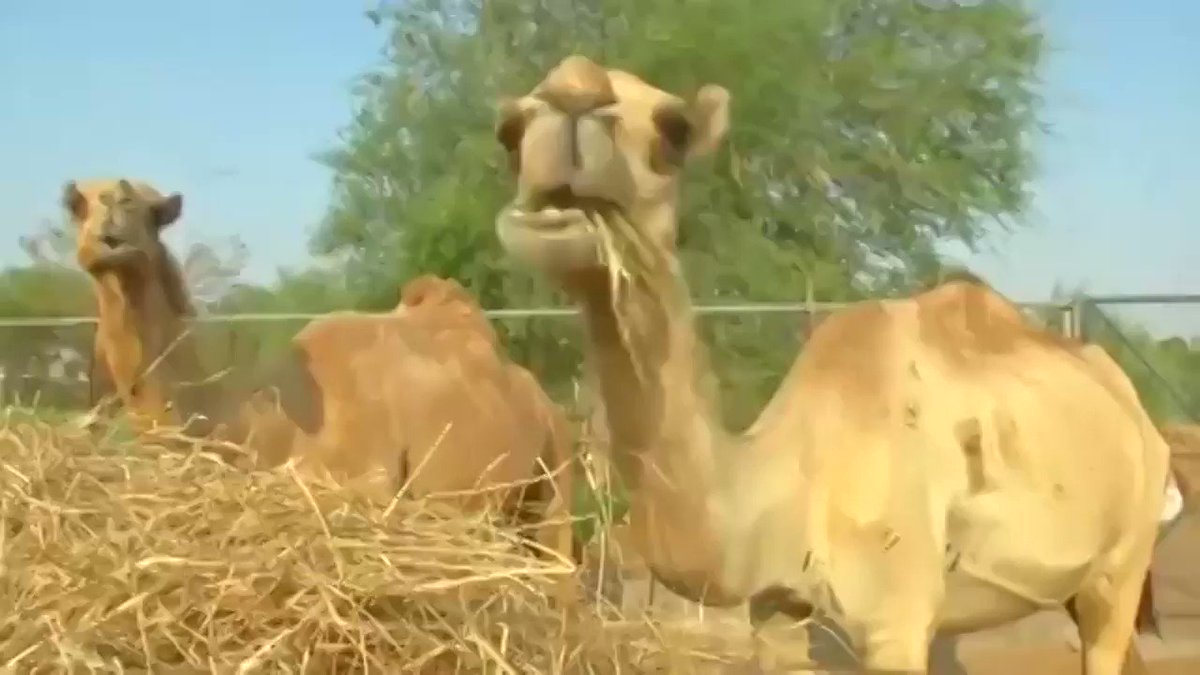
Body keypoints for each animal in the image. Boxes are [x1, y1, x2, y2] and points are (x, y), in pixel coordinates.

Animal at [63, 180, 578, 578]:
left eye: (147, 209)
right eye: (77, 205)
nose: (108, 234)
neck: (254, 420)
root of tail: (542, 399)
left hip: (556, 473)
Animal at [487, 55, 1171, 667]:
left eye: (674, 131)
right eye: (509, 132)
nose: (573, 93)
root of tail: (1138, 411)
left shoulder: (897, 615)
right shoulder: (777, 608)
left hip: (1124, 557)